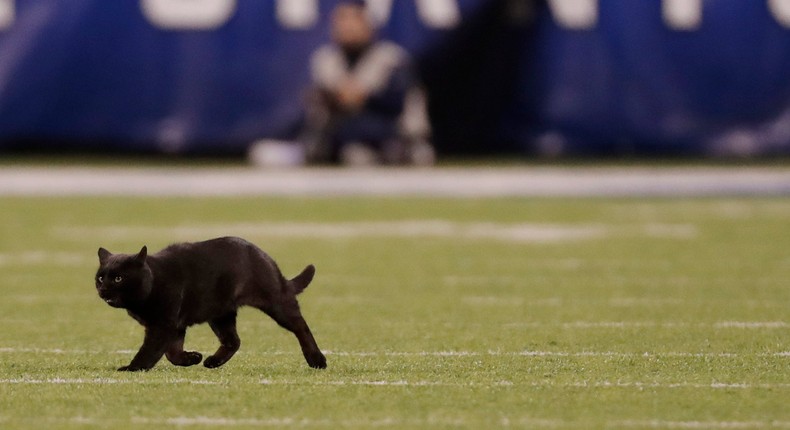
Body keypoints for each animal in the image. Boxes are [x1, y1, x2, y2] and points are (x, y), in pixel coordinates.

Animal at [93, 237, 328, 372]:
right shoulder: (175, 326)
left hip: (275, 302)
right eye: (101, 278)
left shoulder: (163, 325)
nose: (103, 289)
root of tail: (262, 254)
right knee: (234, 340)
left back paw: (317, 360)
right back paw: (213, 362)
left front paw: (131, 368)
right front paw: (193, 358)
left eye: (118, 279)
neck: (154, 281)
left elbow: (150, 351)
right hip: (220, 314)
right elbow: (172, 353)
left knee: (301, 326)